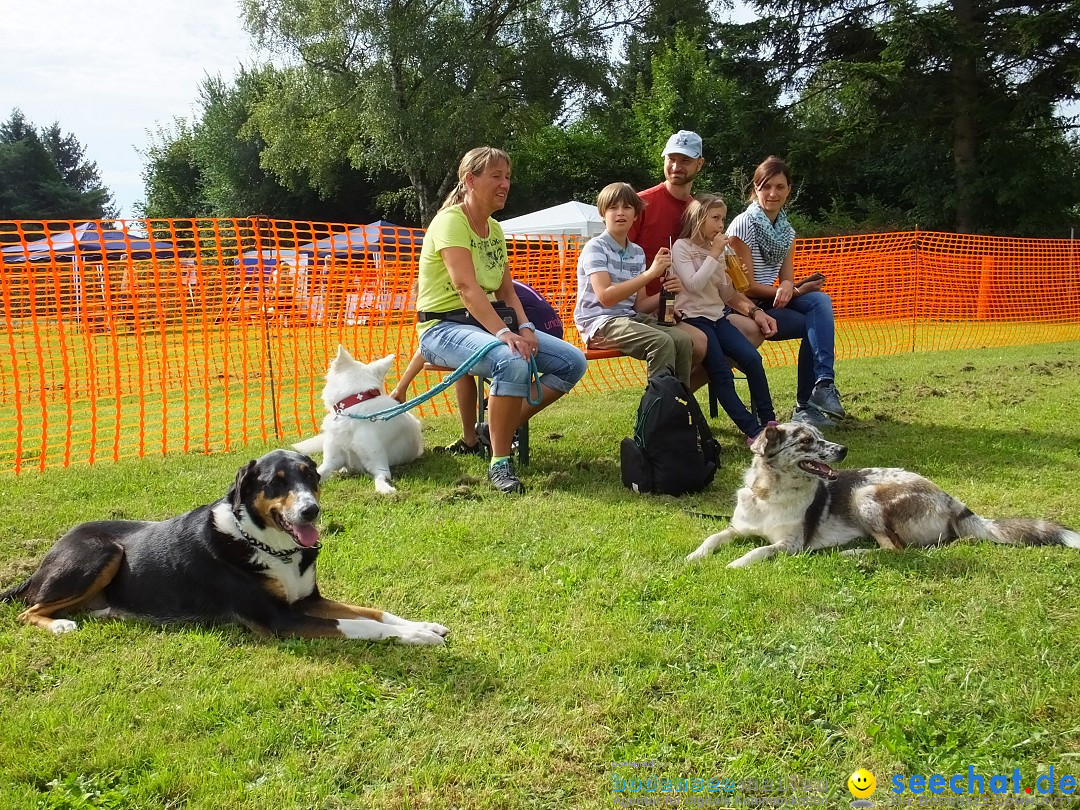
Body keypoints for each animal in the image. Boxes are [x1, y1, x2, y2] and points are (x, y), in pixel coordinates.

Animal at [0, 451, 447, 648]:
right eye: (276, 482)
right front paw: (414, 637)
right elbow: (360, 625)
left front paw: (424, 625)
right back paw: (59, 624)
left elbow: (372, 611)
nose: (311, 510)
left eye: (311, 476)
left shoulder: (307, 601)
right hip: (102, 553)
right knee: (28, 611)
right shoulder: (279, 620)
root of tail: (45, 559)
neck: (270, 547)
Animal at [686, 421, 1075, 565]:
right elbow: (712, 537)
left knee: (896, 549)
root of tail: (951, 500)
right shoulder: (736, 528)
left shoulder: (790, 545)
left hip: (866, 495)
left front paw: (735, 563)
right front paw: (694, 556)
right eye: (807, 441)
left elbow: (760, 550)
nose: (843, 450)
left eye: (819, 436)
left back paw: (852, 552)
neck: (771, 494)